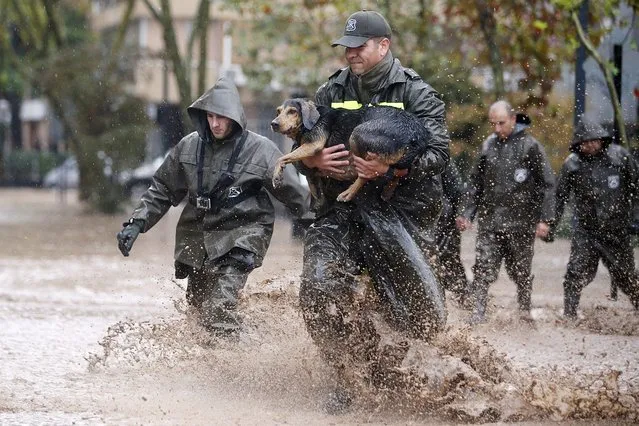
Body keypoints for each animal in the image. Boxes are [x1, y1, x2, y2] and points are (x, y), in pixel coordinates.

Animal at [270, 98, 430, 201]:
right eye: (278, 111)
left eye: (292, 111)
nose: (273, 124)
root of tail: (417, 135)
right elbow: (309, 172)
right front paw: (315, 189)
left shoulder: (313, 144)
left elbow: (282, 157)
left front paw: (277, 176)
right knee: (398, 173)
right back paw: (388, 191)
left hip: (356, 134)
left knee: (365, 175)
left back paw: (348, 193)